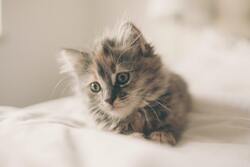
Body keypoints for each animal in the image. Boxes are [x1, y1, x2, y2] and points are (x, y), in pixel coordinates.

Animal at [59, 21, 191, 145]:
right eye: (95, 87)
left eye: (122, 78)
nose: (108, 100)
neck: (136, 116)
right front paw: (136, 136)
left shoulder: (178, 108)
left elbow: (171, 123)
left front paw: (161, 135)